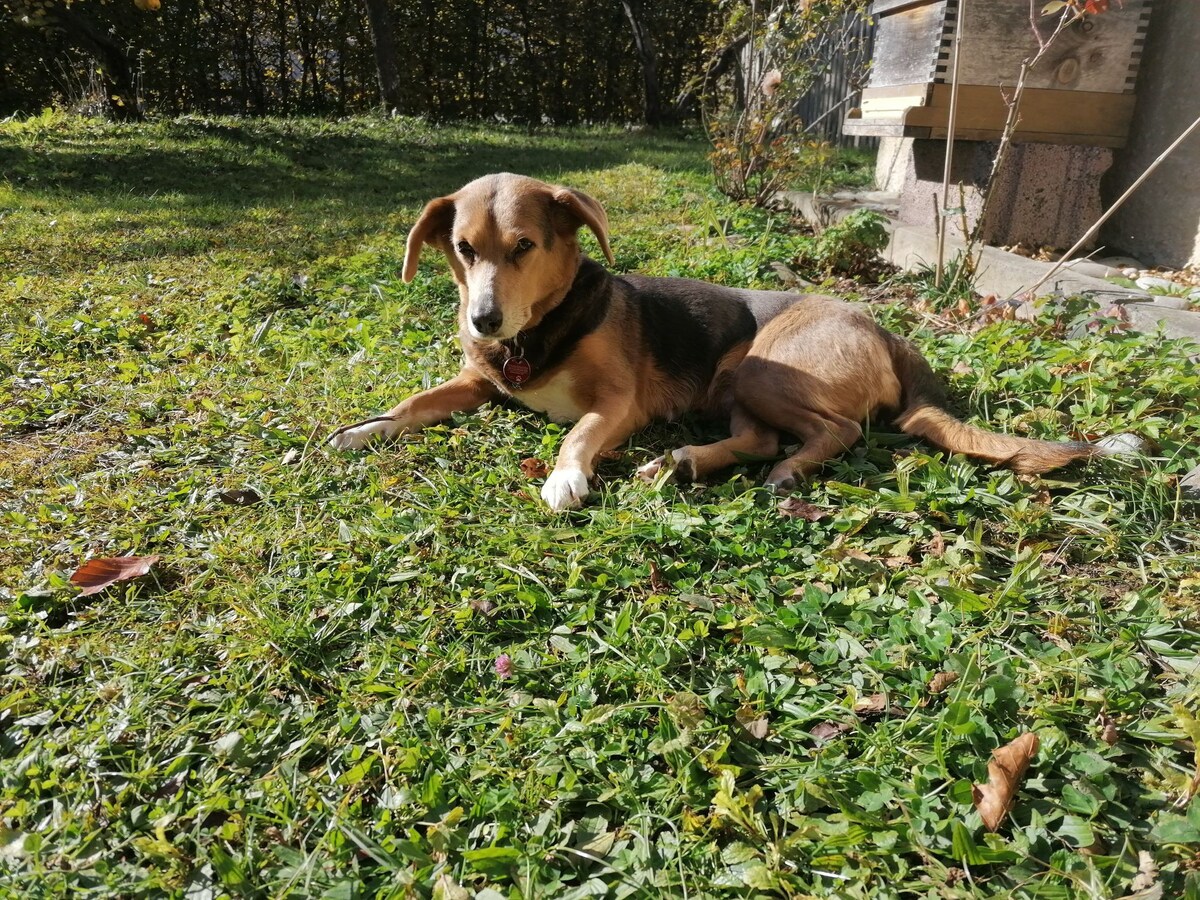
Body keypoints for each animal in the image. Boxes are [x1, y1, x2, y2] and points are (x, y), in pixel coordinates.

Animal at [331, 174, 1104, 513]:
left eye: (524, 246)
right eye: (463, 249)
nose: (483, 322)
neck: (540, 331)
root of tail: (883, 327)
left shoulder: (617, 404)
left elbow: (576, 432)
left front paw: (564, 476)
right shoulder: (475, 380)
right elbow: (413, 403)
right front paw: (361, 429)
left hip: (766, 371)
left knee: (839, 431)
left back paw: (781, 471)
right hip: (737, 387)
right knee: (760, 438)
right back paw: (682, 463)